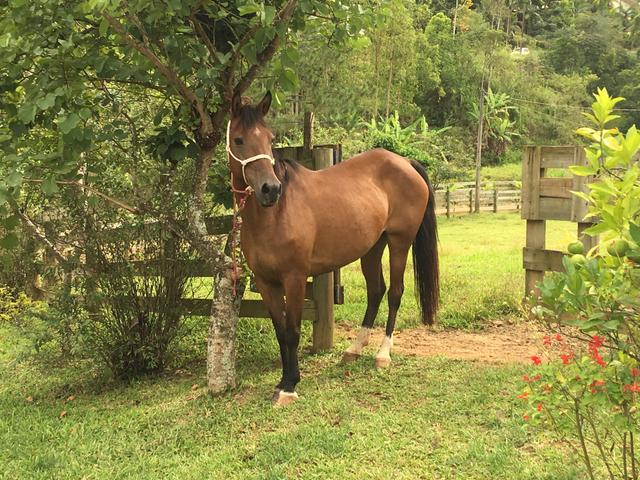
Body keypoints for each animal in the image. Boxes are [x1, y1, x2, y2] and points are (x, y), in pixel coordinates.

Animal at [229, 91, 440, 404]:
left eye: (270, 138)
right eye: (238, 139)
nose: (271, 189)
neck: (274, 215)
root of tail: (405, 161)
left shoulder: (294, 278)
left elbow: (292, 331)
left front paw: (290, 385)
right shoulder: (266, 282)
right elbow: (280, 331)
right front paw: (281, 382)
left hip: (399, 242)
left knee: (395, 293)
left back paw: (382, 354)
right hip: (372, 248)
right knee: (376, 292)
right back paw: (354, 350)